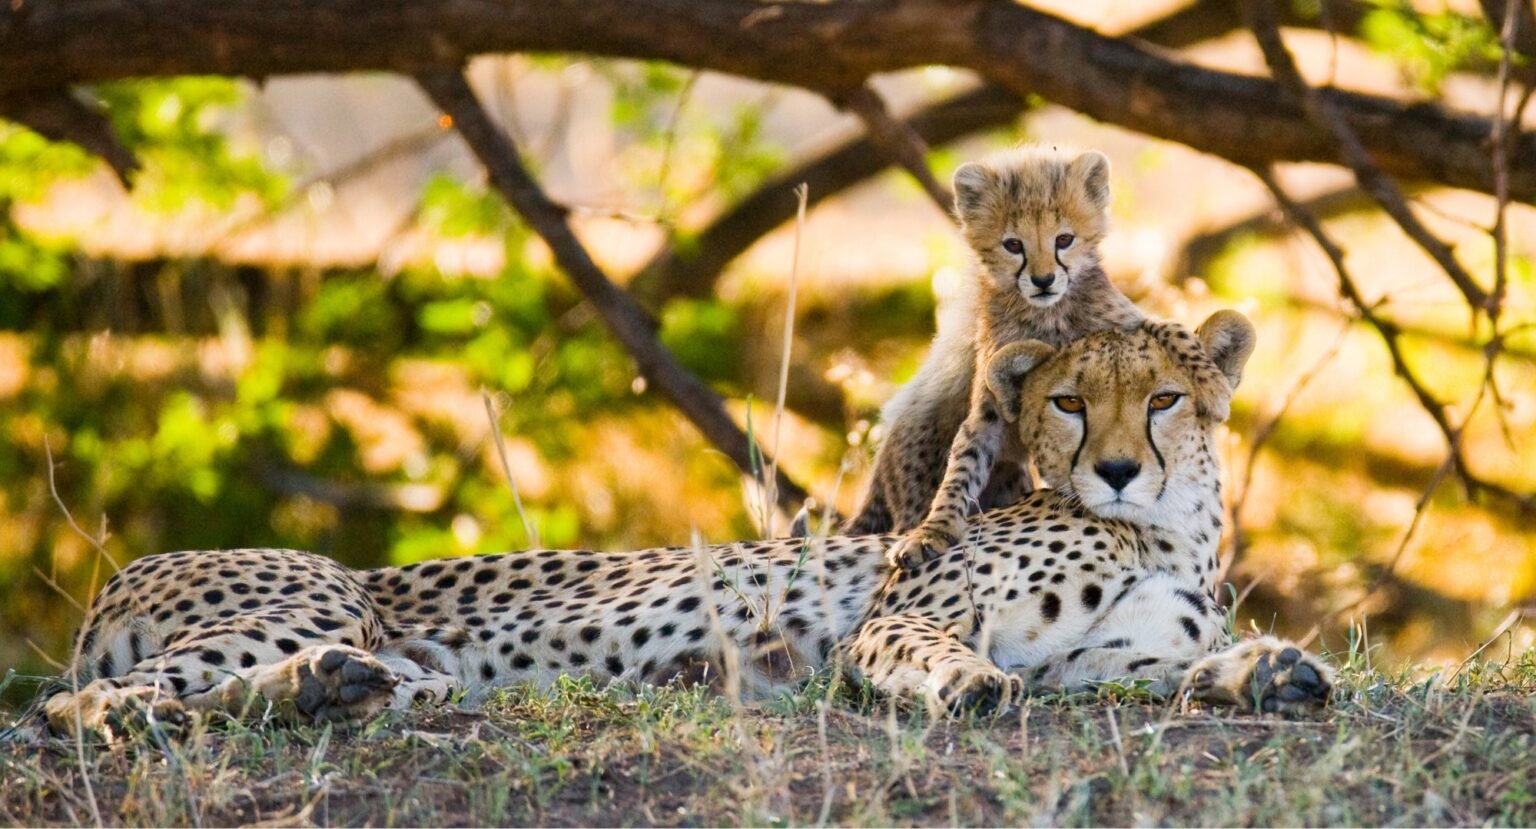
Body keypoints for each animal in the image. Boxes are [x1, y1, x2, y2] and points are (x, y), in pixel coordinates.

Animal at [33, 311, 1330, 740]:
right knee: (75, 705)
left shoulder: (1094, 662)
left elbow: (1171, 671)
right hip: (314, 592)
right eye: (1069, 401)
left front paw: (1268, 671)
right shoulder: (909, 612)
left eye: (1161, 399)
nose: (1114, 470)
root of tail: (127, 570)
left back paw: (340, 689)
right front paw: (962, 684)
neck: (1163, 532)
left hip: (383, 650)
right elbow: (933, 649)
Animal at [846, 146, 1144, 572]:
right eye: (1013, 245)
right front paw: (932, 532)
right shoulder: (987, 410)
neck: (1046, 317)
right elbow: (962, 467)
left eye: (1064, 239)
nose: (1043, 280)